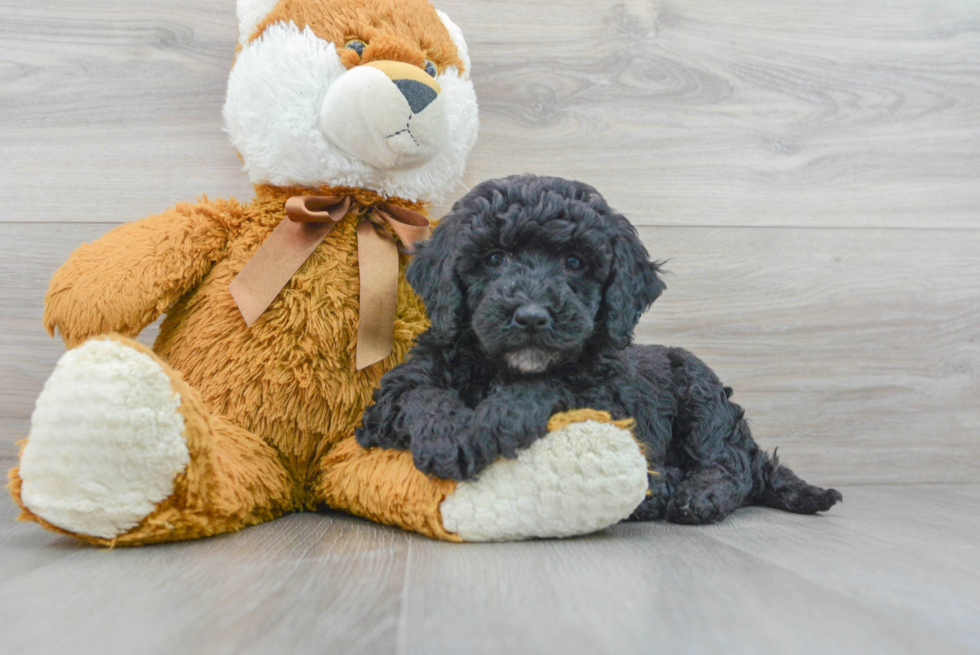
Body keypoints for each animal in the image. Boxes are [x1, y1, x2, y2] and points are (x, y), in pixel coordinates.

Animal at [360, 177, 844, 524]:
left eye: (574, 262)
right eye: (495, 258)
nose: (532, 316)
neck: (505, 367)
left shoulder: (605, 397)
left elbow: (554, 385)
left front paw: (497, 419)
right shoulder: (391, 397)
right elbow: (421, 395)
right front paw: (448, 438)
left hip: (701, 392)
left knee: (729, 464)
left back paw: (692, 494)